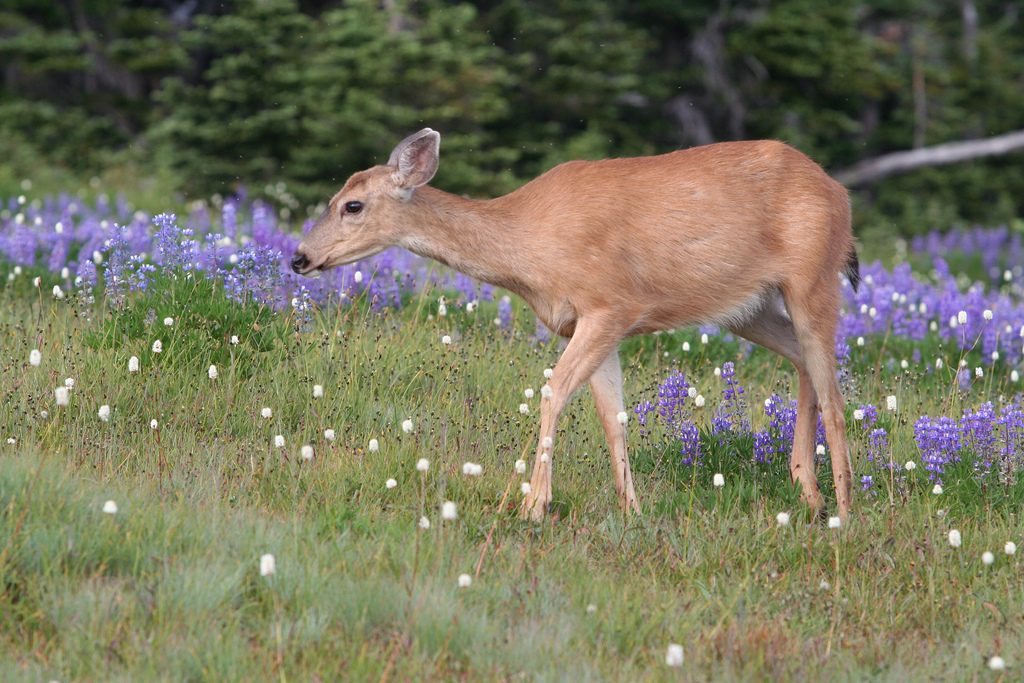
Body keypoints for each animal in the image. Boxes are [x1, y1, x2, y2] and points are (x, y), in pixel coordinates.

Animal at [292, 129, 860, 524]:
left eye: (353, 204)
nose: (299, 257)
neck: (529, 248)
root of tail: (840, 191)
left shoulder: (612, 304)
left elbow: (553, 393)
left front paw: (533, 506)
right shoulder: (585, 324)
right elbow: (613, 418)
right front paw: (633, 510)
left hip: (813, 277)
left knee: (835, 392)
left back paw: (843, 510)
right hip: (750, 308)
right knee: (806, 366)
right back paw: (807, 493)